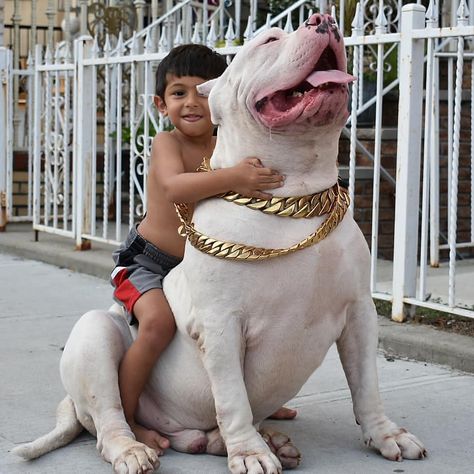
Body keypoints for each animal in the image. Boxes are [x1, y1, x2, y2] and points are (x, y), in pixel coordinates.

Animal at [12, 12, 426, 472]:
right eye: (269, 40)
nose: (324, 19)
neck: (295, 199)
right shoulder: (222, 325)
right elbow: (232, 399)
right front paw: (249, 452)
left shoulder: (358, 315)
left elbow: (366, 385)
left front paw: (386, 435)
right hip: (96, 333)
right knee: (109, 415)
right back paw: (135, 446)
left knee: (195, 433)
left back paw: (257, 439)